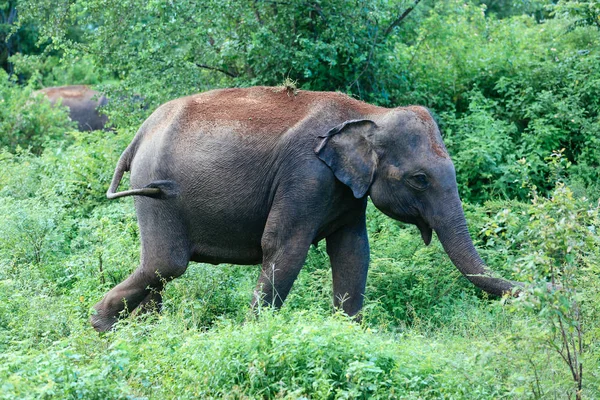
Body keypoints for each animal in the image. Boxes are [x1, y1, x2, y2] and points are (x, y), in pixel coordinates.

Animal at [91, 85, 524, 332]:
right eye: (420, 179)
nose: (531, 294)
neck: (370, 112)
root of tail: (139, 134)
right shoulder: (306, 175)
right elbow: (284, 246)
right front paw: (254, 335)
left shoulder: (346, 190)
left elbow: (353, 252)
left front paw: (348, 334)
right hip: (156, 191)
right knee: (167, 264)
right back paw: (104, 326)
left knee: (159, 269)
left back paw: (144, 331)